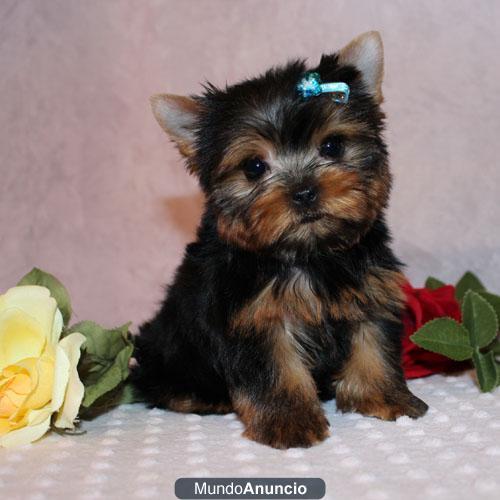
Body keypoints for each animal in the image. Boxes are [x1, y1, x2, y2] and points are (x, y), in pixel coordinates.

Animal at [134, 30, 430, 450]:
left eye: (332, 146)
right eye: (254, 166)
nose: (304, 192)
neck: (310, 253)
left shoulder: (370, 291)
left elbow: (373, 343)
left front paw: (386, 397)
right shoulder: (254, 317)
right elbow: (274, 369)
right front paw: (289, 422)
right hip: (165, 349)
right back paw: (203, 397)